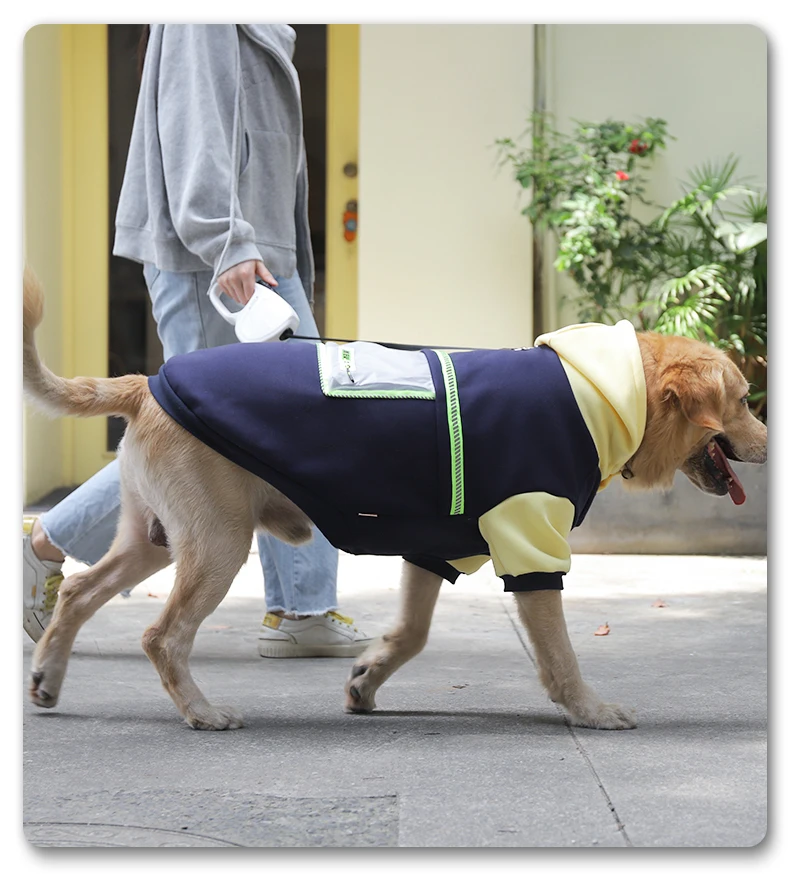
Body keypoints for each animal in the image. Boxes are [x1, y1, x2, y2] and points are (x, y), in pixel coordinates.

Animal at [21, 268, 772, 732]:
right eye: (742, 401)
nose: (770, 437)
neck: (599, 392)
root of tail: (148, 383)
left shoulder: (435, 547)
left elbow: (411, 632)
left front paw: (367, 679)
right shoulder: (530, 538)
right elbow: (560, 656)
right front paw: (588, 708)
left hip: (154, 537)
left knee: (79, 593)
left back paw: (48, 675)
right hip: (216, 542)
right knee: (162, 634)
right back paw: (201, 709)